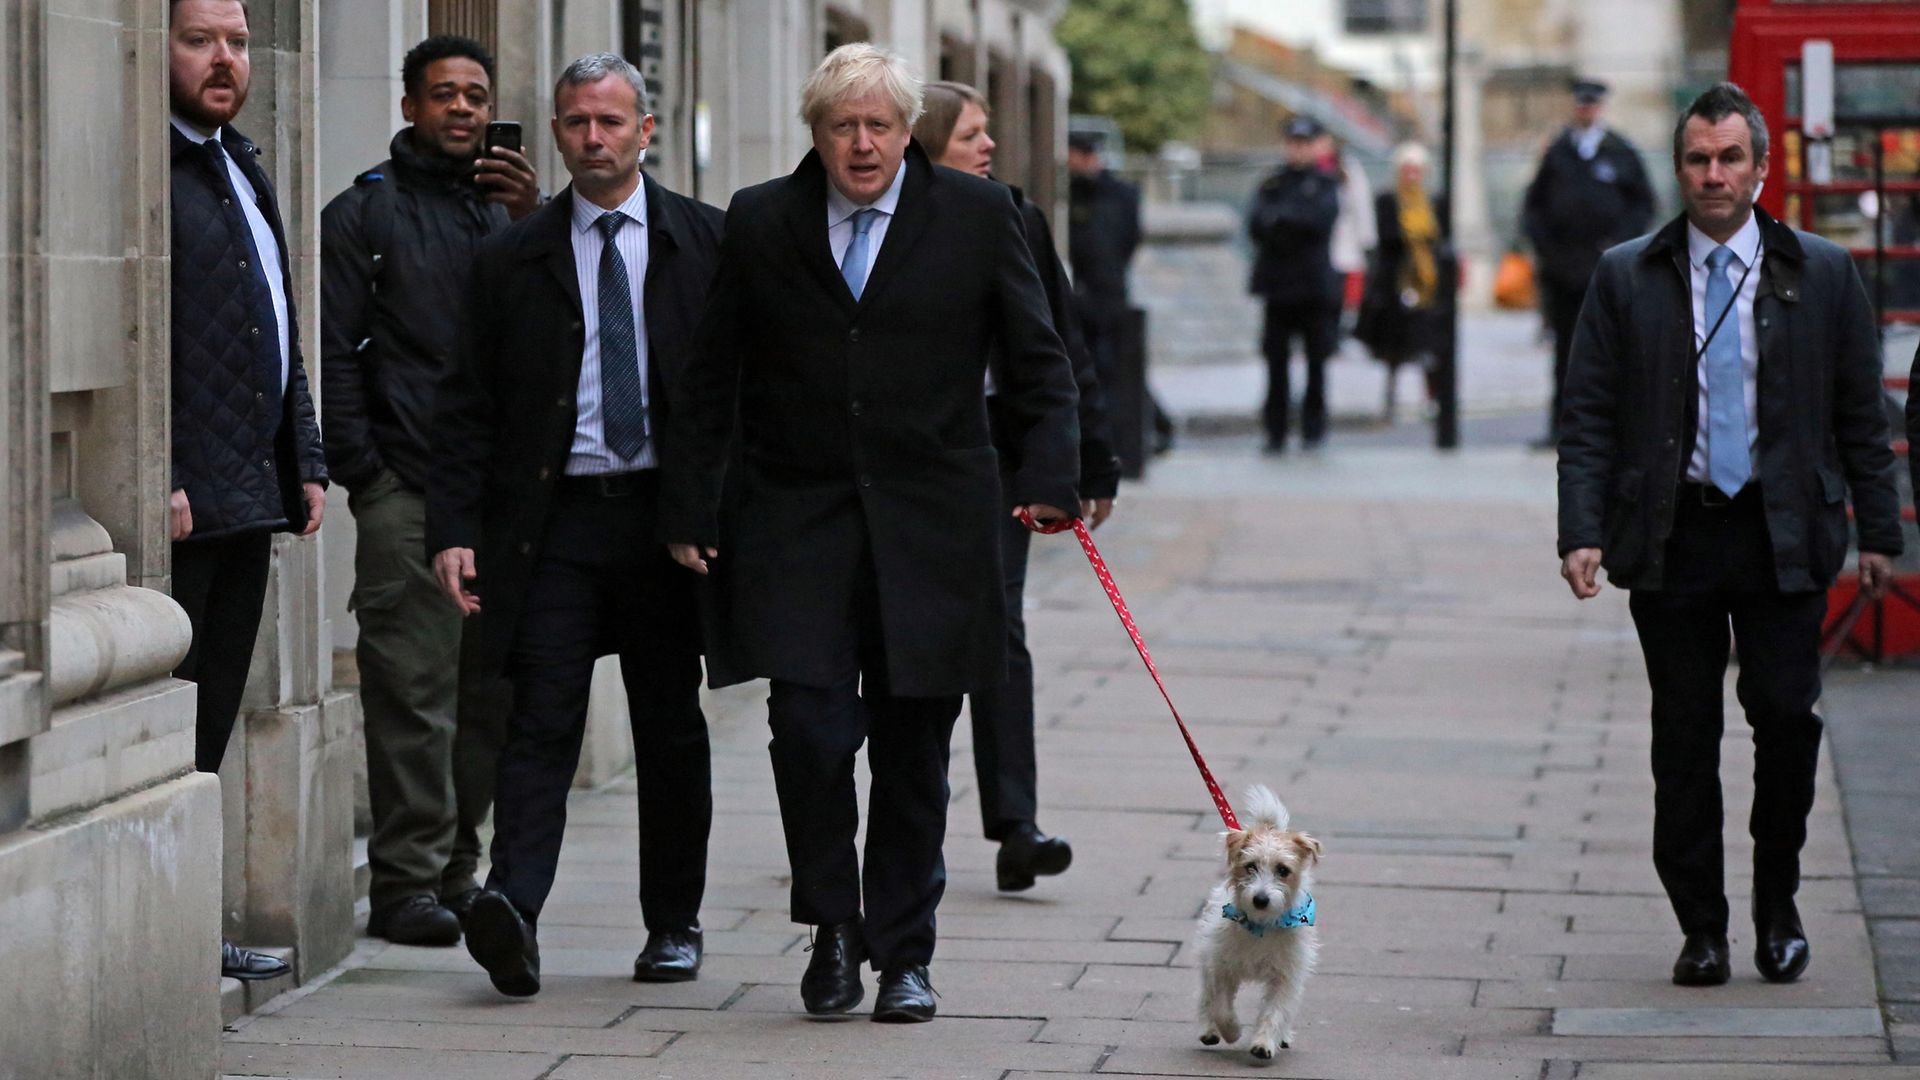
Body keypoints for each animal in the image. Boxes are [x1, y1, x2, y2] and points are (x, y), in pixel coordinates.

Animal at [1182, 776, 1320, 1053]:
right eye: (1250, 866)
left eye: (1283, 870)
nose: (1260, 899)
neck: (1261, 927)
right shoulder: (1221, 966)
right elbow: (1221, 1006)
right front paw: (1231, 1031)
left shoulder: (1285, 976)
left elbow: (1276, 1011)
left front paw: (1264, 1043)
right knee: (1205, 997)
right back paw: (1208, 1030)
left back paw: (1282, 1037)